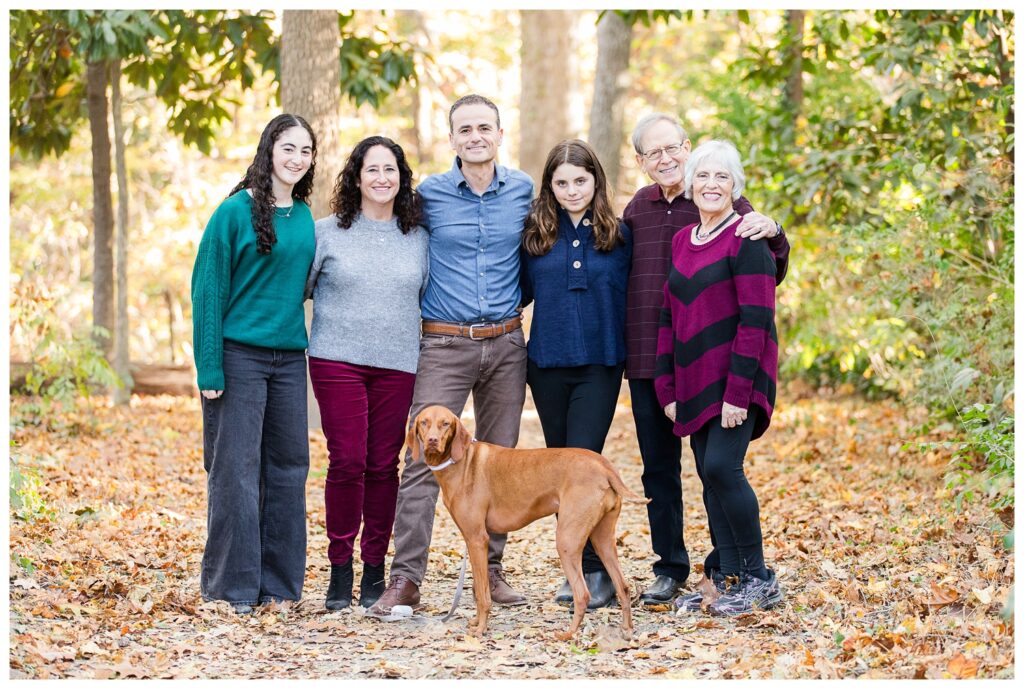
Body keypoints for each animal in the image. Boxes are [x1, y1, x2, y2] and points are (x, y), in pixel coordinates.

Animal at [405, 403, 647, 638]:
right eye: (424, 422)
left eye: (445, 423)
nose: (432, 440)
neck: (461, 462)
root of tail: (604, 465)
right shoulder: (472, 541)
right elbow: (478, 585)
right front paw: (475, 621)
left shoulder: (477, 538)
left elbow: (483, 594)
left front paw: (481, 628)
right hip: (602, 539)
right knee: (623, 586)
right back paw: (626, 630)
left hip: (567, 540)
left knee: (582, 594)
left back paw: (568, 634)